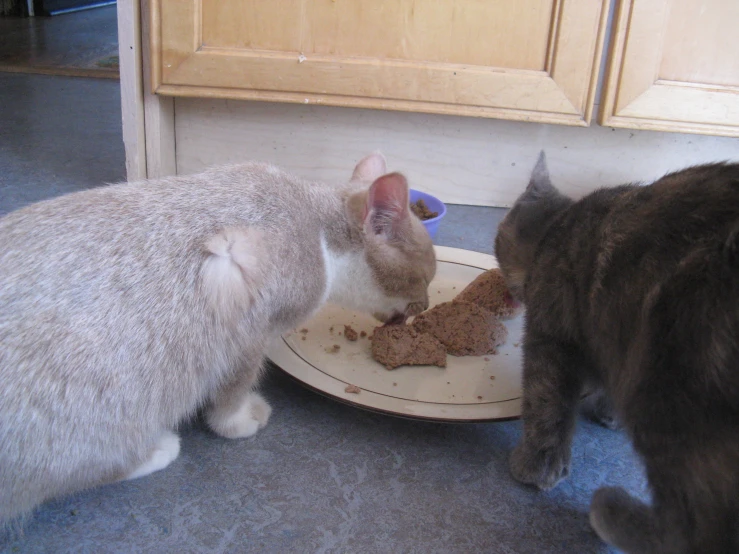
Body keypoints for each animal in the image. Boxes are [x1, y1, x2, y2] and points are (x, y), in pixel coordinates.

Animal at [0, 152, 436, 520]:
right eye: (427, 278)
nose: (427, 305)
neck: (319, 232)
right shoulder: (250, 338)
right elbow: (232, 394)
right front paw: (242, 421)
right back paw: (160, 448)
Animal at [494, 152, 739, 552]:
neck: (557, 229)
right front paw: (608, 413)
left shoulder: (551, 333)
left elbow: (545, 404)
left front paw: (534, 469)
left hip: (669, 391)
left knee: (689, 526)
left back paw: (610, 512)